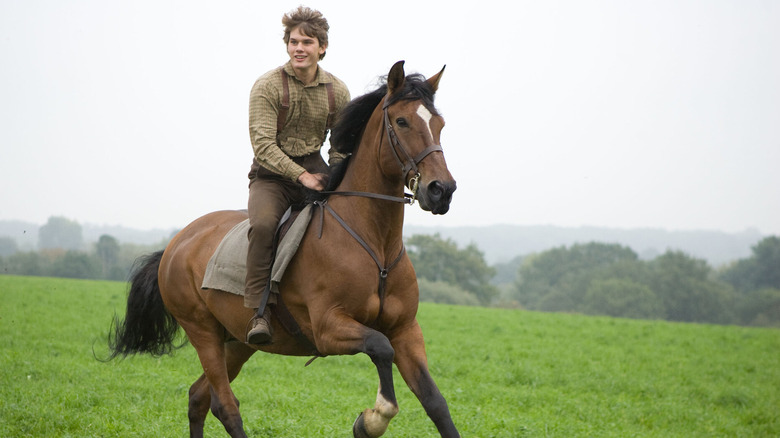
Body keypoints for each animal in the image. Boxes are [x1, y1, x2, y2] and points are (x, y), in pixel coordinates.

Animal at [107, 61, 459, 438]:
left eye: (439, 124)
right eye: (402, 122)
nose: (442, 190)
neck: (374, 244)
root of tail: (175, 244)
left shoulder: (406, 330)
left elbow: (436, 403)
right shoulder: (328, 327)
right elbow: (381, 349)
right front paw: (371, 419)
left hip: (238, 341)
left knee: (199, 397)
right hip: (203, 333)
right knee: (225, 404)